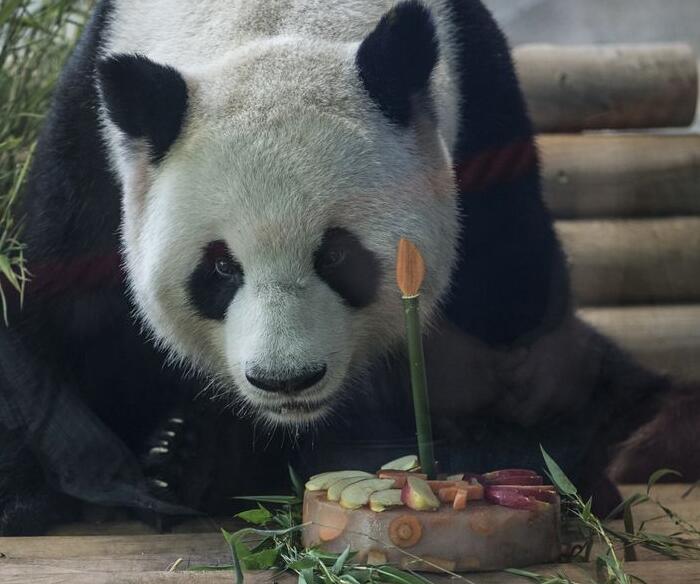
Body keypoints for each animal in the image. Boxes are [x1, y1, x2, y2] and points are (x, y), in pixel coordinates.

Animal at [0, 0, 680, 532]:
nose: (286, 380)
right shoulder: (91, 145)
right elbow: (46, 305)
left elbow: (516, 346)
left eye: (336, 256)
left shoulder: (482, 114)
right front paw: (61, 489)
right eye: (219, 269)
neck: (270, 20)